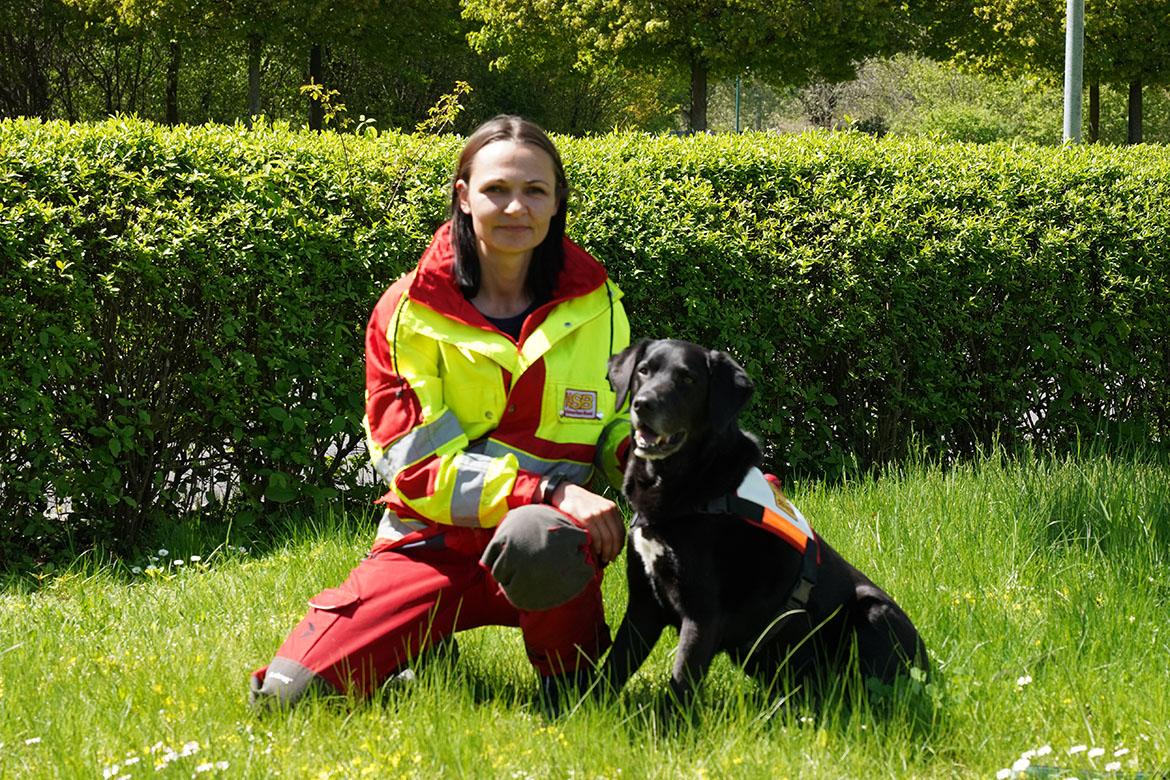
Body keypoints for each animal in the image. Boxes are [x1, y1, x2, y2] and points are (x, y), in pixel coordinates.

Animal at [599, 339, 926, 711]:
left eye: (687, 379)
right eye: (643, 371)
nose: (643, 404)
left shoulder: (702, 615)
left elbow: (681, 683)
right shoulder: (643, 605)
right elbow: (613, 667)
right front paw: (582, 709)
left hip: (874, 610)